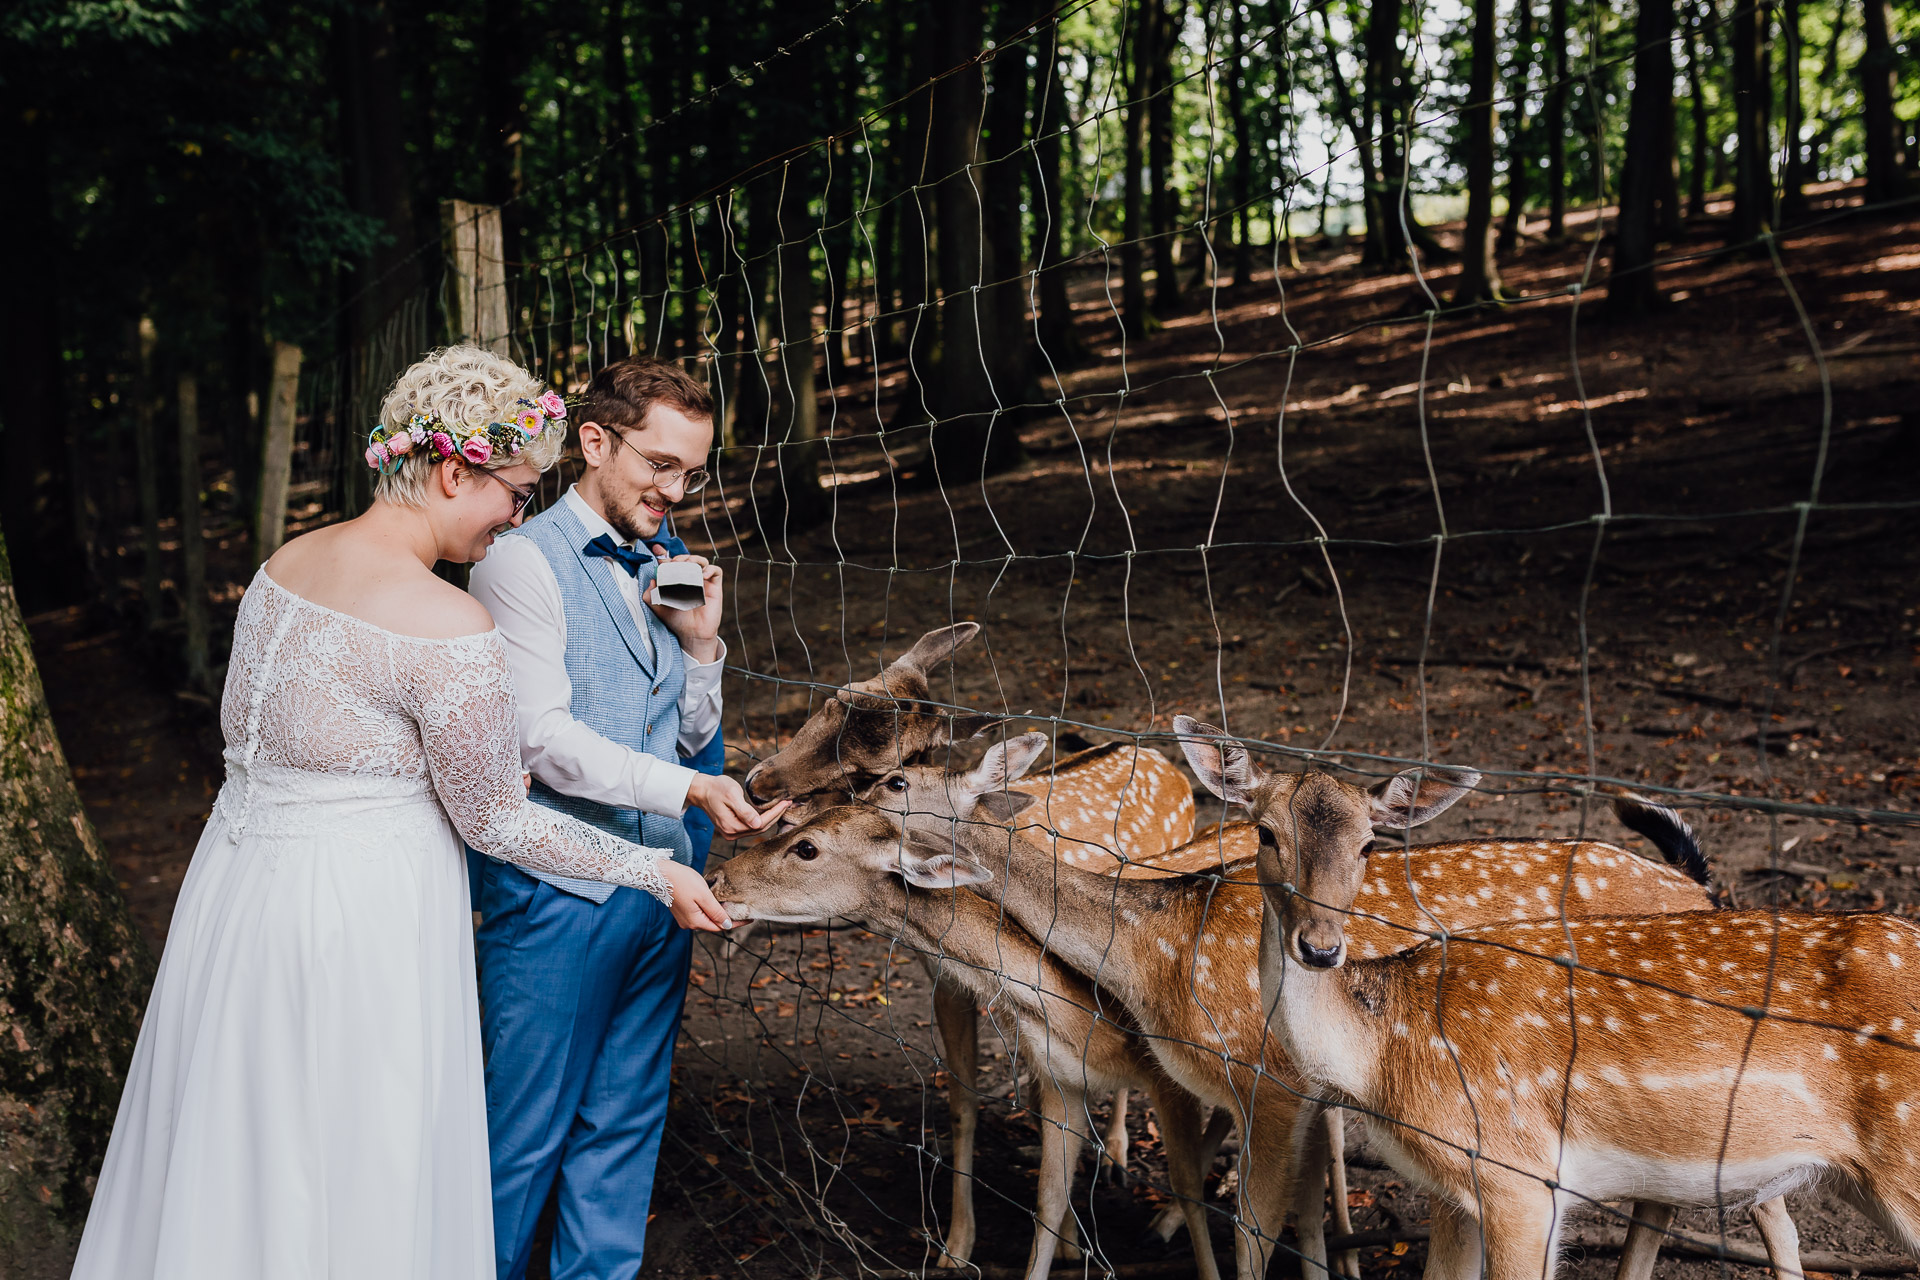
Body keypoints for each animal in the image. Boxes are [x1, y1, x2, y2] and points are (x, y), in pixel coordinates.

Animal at [879, 729, 1751, 1280]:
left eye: (895, 786)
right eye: (1266, 833)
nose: (857, 809)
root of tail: (1701, 888)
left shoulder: (1275, 1080)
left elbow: (1253, 1222)